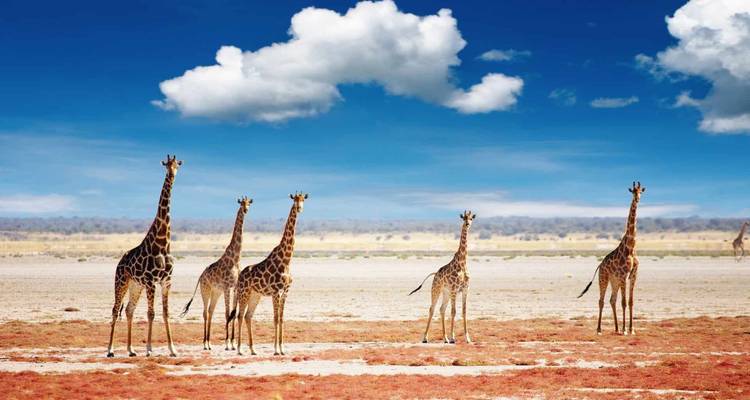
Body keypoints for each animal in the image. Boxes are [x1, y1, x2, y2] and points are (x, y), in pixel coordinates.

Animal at [106, 155, 182, 357]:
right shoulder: (150, 282)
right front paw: (148, 349)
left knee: (129, 310)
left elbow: (165, 313)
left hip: (135, 285)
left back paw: (131, 350)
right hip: (122, 281)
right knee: (115, 309)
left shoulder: (166, 281)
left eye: (177, 165)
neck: (163, 244)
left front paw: (173, 349)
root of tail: (119, 262)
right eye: (166, 165)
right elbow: (151, 313)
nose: (171, 175)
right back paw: (110, 350)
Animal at [181, 196, 253, 351]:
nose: (245, 210)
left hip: (216, 292)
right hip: (205, 290)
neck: (235, 259)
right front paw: (227, 343)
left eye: (249, 203)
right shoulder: (226, 287)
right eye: (241, 204)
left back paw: (209, 343)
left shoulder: (235, 287)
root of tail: (200, 277)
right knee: (205, 313)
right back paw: (205, 343)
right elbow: (227, 313)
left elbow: (233, 313)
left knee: (211, 311)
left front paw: (232, 342)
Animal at [231, 192, 308, 356]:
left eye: (303, 199)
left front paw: (282, 348)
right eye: (294, 200)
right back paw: (239, 349)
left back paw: (253, 349)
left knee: (248, 316)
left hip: (255, 295)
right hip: (244, 293)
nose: (299, 208)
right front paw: (276, 349)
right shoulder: (275, 292)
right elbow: (275, 318)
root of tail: (240, 277)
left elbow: (281, 318)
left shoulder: (285, 292)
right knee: (240, 316)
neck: (286, 260)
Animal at [409, 210, 475, 344]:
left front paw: (468, 338)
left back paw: (445, 338)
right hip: (436, 290)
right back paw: (425, 338)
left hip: (446, 293)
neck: (462, 263)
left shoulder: (465, 290)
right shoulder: (455, 289)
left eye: (471, 218)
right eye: (464, 218)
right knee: (432, 309)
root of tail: (435, 274)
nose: (467, 224)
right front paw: (453, 337)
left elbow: (464, 311)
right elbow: (454, 312)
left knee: (441, 309)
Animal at [578, 181, 645, 335]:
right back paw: (599, 329)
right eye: (633, 191)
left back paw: (616, 328)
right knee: (601, 301)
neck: (631, 247)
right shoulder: (623, 275)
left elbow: (630, 301)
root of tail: (600, 265)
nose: (637, 199)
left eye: (641, 192)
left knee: (612, 300)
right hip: (604, 278)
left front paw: (631, 329)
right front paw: (625, 330)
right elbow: (624, 302)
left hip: (614, 281)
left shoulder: (633, 275)